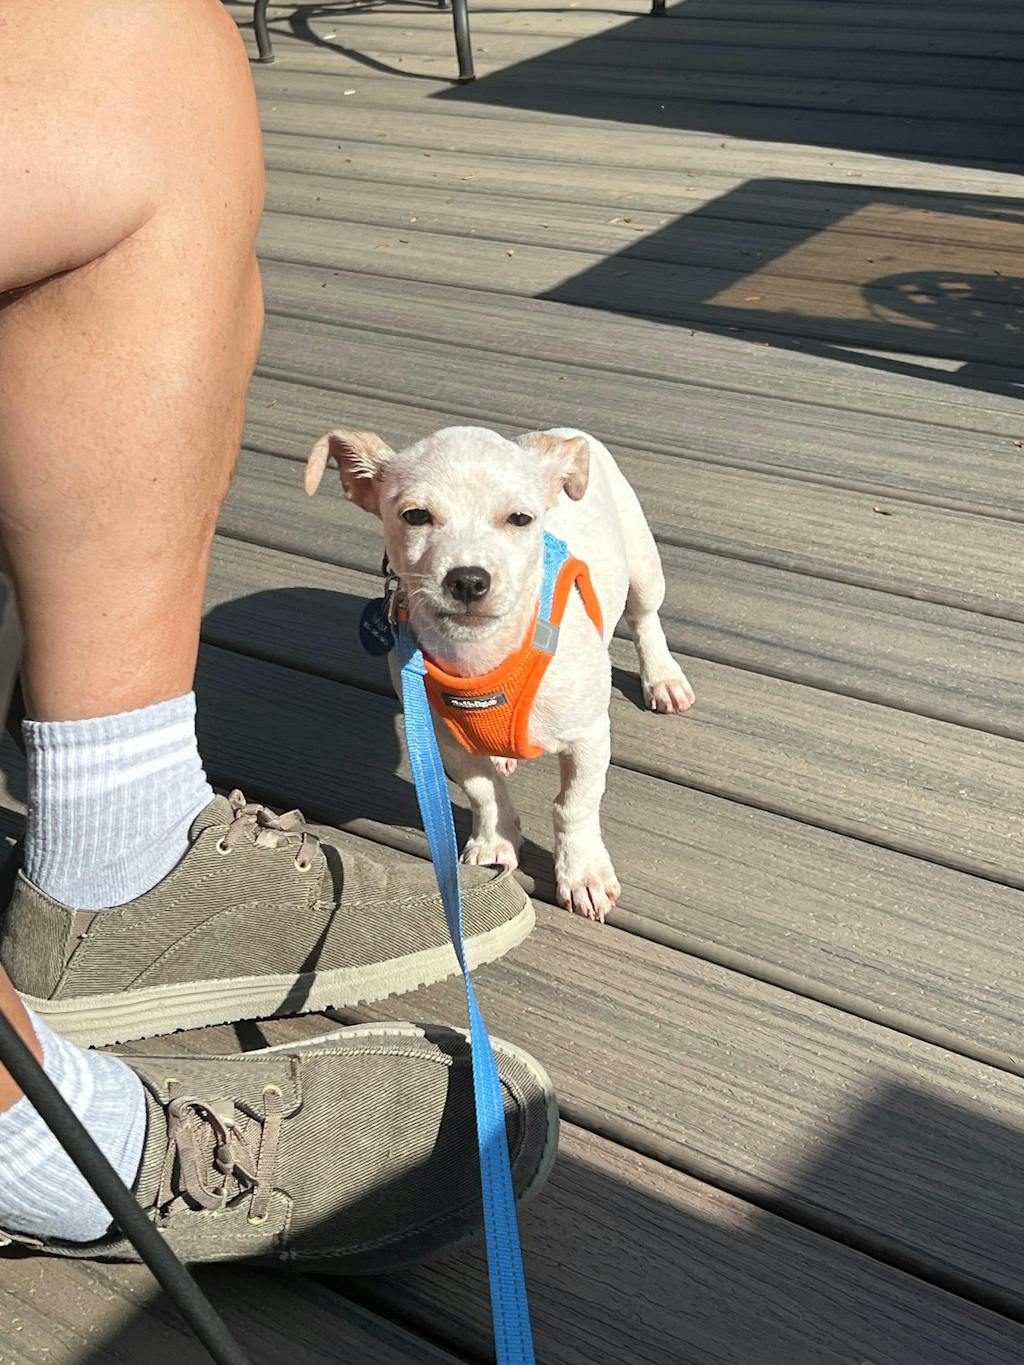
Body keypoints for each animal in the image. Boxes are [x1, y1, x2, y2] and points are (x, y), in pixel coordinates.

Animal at [305, 425, 693, 922]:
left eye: (520, 519)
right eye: (415, 516)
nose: (468, 579)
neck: (482, 658)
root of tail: (563, 430)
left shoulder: (588, 737)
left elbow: (575, 804)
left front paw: (582, 872)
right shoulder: (447, 740)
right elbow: (483, 790)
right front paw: (494, 844)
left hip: (643, 567)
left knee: (645, 618)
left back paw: (663, 677)